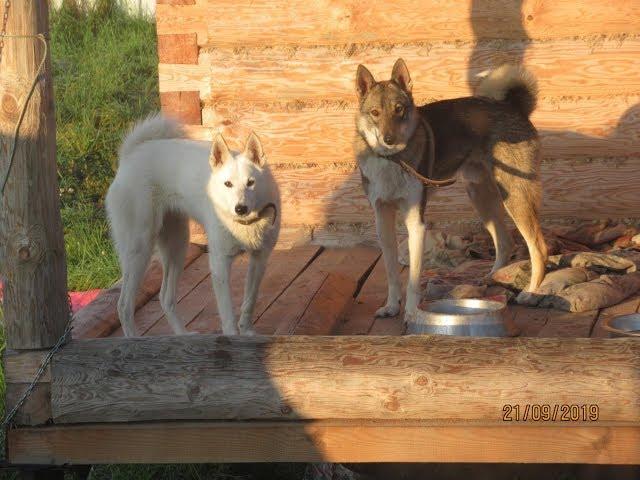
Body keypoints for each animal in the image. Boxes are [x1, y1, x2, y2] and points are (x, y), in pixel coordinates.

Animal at [105, 114, 280, 336]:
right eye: (228, 184)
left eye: (251, 182)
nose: (240, 208)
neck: (246, 223)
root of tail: (129, 155)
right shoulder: (220, 263)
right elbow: (228, 315)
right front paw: (233, 337)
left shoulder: (259, 260)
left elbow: (249, 302)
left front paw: (248, 332)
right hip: (139, 250)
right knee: (124, 306)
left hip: (177, 246)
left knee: (165, 298)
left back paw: (183, 334)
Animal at [356, 59, 544, 318]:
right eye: (375, 113)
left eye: (399, 110)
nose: (389, 140)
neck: (392, 160)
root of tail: (513, 106)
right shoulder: (382, 220)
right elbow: (392, 273)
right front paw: (392, 306)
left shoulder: (416, 223)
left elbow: (413, 279)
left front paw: (412, 313)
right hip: (480, 196)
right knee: (506, 243)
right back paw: (489, 279)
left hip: (515, 197)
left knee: (539, 249)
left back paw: (532, 293)